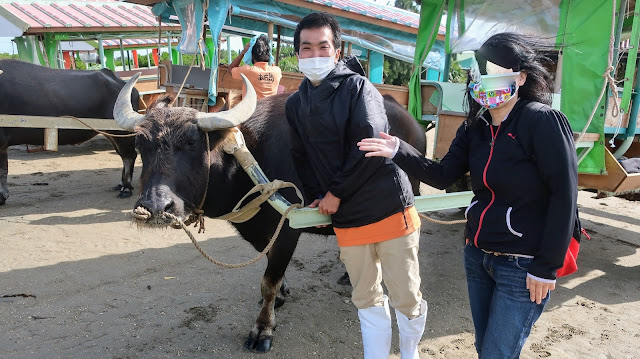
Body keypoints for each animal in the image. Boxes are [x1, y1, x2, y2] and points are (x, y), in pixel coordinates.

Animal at [0, 59, 140, 205]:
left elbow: (1, 171)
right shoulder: (3, 146)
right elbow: (4, 170)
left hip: (122, 133)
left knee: (129, 156)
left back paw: (126, 188)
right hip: (111, 133)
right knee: (124, 155)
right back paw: (121, 184)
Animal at [113, 73, 428, 352]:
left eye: (191, 142)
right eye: (141, 143)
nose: (155, 207)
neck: (246, 162)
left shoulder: (288, 229)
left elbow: (268, 282)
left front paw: (263, 329)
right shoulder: (258, 233)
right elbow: (270, 269)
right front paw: (282, 294)